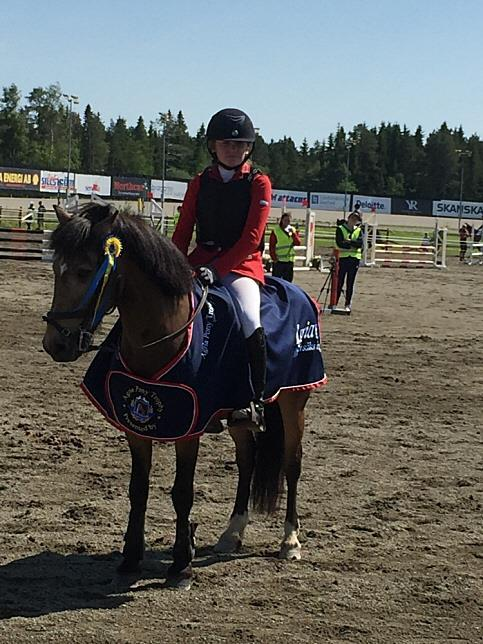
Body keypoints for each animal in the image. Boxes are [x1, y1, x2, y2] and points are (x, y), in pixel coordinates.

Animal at [43, 204, 312, 592]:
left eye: (83, 271)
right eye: (55, 270)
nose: (56, 344)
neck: (159, 334)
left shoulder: (189, 429)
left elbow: (182, 492)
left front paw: (181, 566)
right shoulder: (136, 424)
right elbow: (138, 489)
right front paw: (131, 558)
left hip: (295, 402)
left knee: (292, 463)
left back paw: (290, 540)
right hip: (240, 418)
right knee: (246, 462)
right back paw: (233, 532)